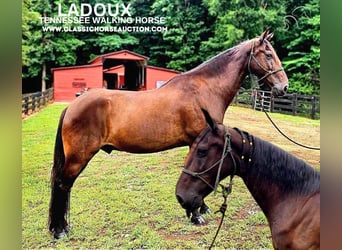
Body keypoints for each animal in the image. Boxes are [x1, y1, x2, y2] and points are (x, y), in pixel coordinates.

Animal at [48, 29, 288, 238]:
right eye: (268, 55)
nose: (284, 87)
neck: (204, 90)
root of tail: (72, 106)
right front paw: (196, 215)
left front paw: (201, 209)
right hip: (78, 157)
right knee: (62, 185)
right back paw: (60, 230)